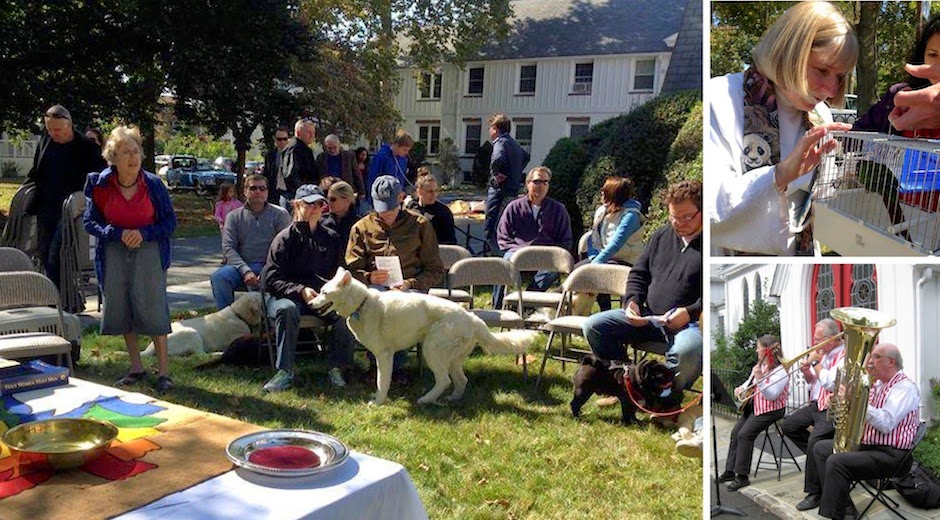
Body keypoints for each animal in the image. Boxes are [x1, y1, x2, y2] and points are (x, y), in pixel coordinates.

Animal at [310, 268, 536, 406]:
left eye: (324, 292)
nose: (310, 303)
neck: (362, 304)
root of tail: (472, 318)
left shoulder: (384, 355)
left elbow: (382, 381)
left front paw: (378, 402)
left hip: (431, 350)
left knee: (444, 380)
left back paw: (426, 400)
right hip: (451, 358)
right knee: (461, 380)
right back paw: (452, 400)